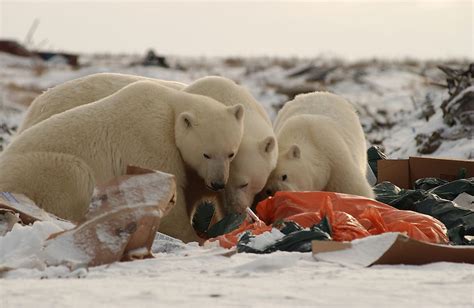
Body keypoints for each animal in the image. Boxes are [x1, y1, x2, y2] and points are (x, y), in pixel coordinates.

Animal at [0, 81, 244, 243]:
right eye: (206, 154)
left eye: (231, 153)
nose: (218, 183)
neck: (170, 106)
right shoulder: (151, 139)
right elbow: (161, 189)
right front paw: (195, 236)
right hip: (42, 168)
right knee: (76, 177)